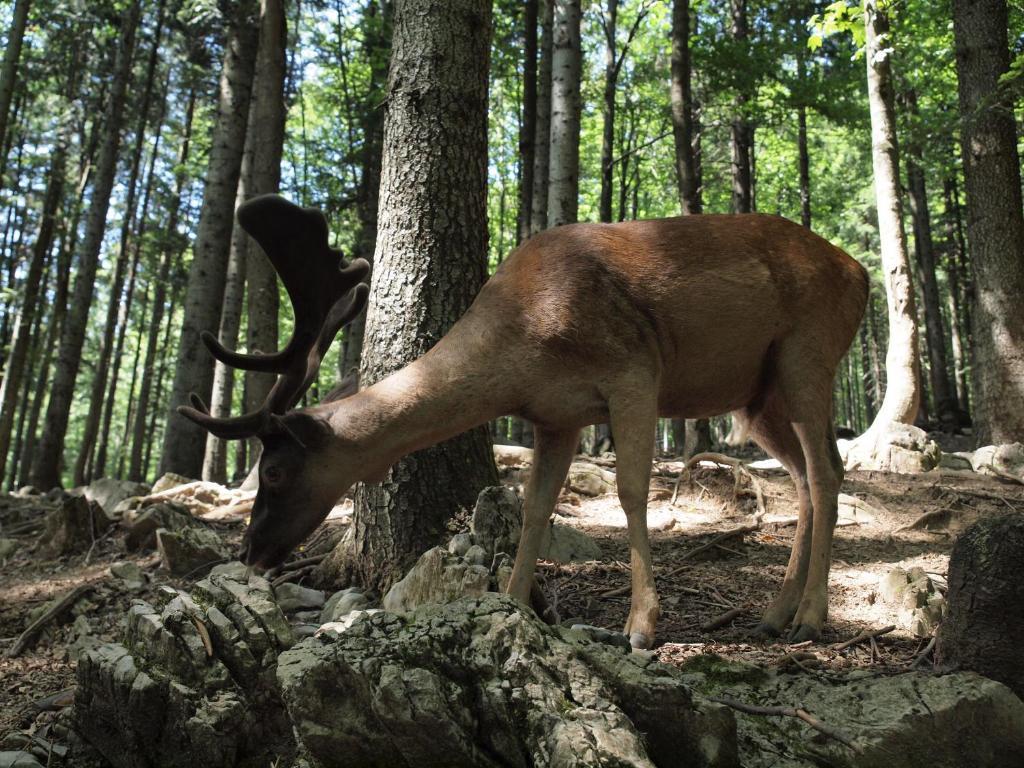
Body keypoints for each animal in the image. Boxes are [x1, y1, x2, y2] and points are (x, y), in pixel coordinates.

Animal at [180, 193, 868, 651]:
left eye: (273, 469)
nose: (250, 550)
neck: (523, 345)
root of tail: (858, 272)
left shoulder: (633, 370)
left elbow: (631, 492)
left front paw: (640, 625)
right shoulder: (554, 416)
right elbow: (536, 507)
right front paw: (512, 604)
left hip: (807, 353)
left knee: (829, 470)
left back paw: (810, 617)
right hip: (757, 395)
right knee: (803, 478)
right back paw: (775, 614)